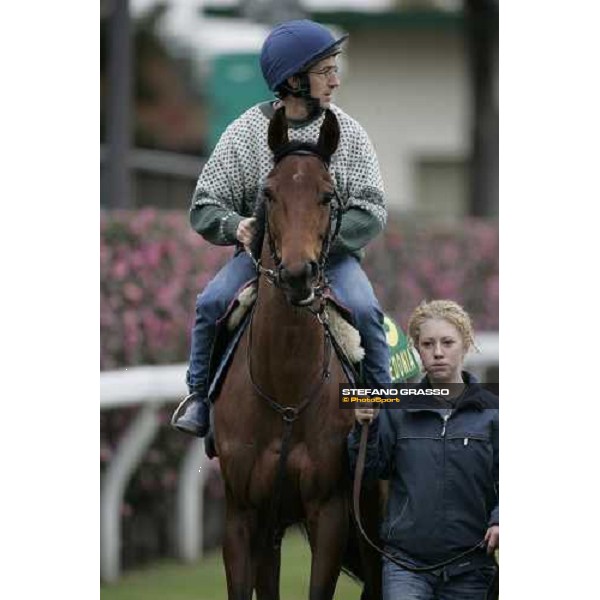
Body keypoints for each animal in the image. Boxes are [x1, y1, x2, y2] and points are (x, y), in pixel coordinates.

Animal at [213, 109, 380, 600]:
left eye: (327, 195)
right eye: (269, 192)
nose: (296, 274)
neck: (285, 391)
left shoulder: (330, 511)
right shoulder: (243, 515)